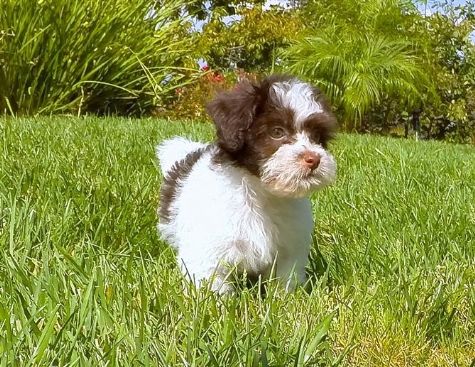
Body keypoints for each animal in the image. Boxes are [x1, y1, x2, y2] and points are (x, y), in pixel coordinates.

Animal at [158, 75, 336, 294]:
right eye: (277, 132)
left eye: (317, 137)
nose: (314, 159)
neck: (260, 192)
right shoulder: (209, 250)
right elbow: (210, 281)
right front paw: (214, 300)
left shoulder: (289, 251)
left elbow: (286, 278)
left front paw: (285, 298)